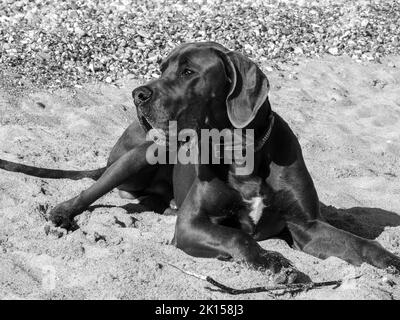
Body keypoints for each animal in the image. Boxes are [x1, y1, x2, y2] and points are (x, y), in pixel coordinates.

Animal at [1, 41, 398, 282]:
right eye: (162, 68)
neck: (240, 154)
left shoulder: (307, 228)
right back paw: (61, 212)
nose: (136, 94)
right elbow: (239, 237)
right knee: (90, 190)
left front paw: (388, 260)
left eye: (189, 72)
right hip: (140, 153)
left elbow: (358, 244)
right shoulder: (192, 224)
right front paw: (273, 262)